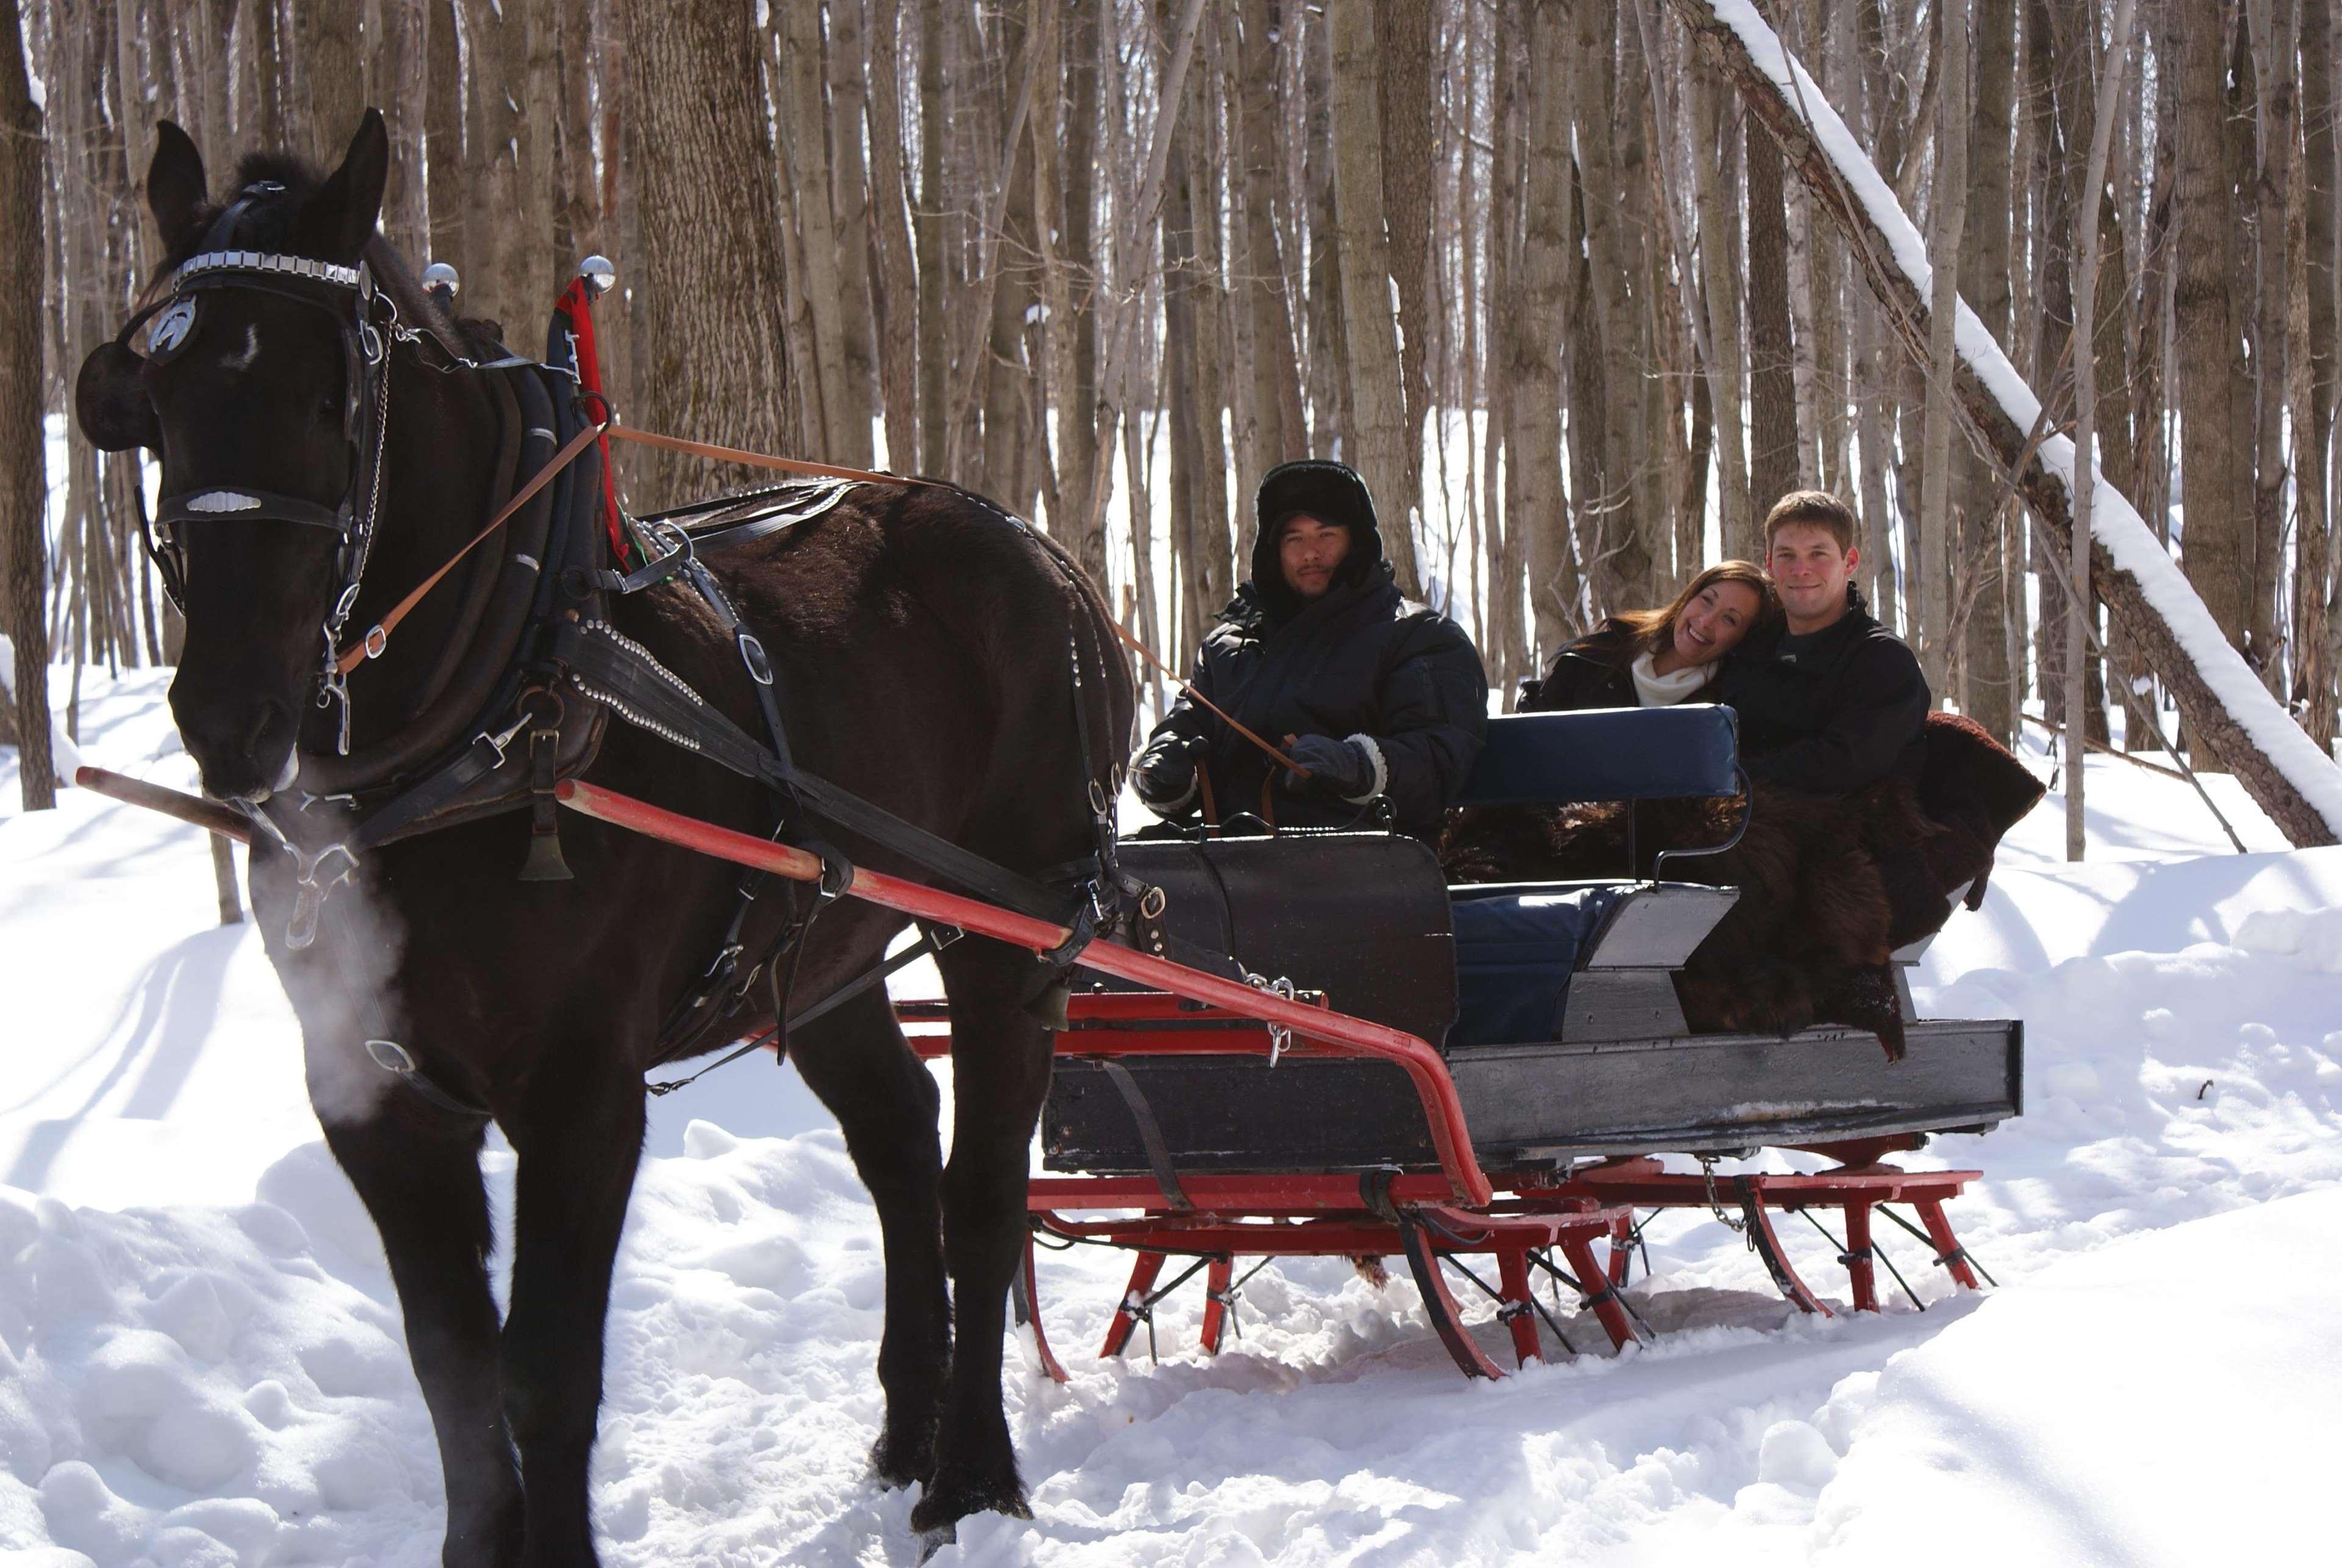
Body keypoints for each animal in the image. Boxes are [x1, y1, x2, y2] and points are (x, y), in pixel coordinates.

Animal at [73, 116, 1133, 1556]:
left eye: (327, 399)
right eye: (155, 400)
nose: (229, 716)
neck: (487, 707)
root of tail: (1044, 550)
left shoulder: (580, 1093)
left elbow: (544, 1371)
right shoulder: (372, 1096)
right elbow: (451, 1371)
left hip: (1009, 928)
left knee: (978, 1195)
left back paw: (970, 1472)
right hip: (821, 945)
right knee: (899, 1143)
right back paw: (906, 1431)